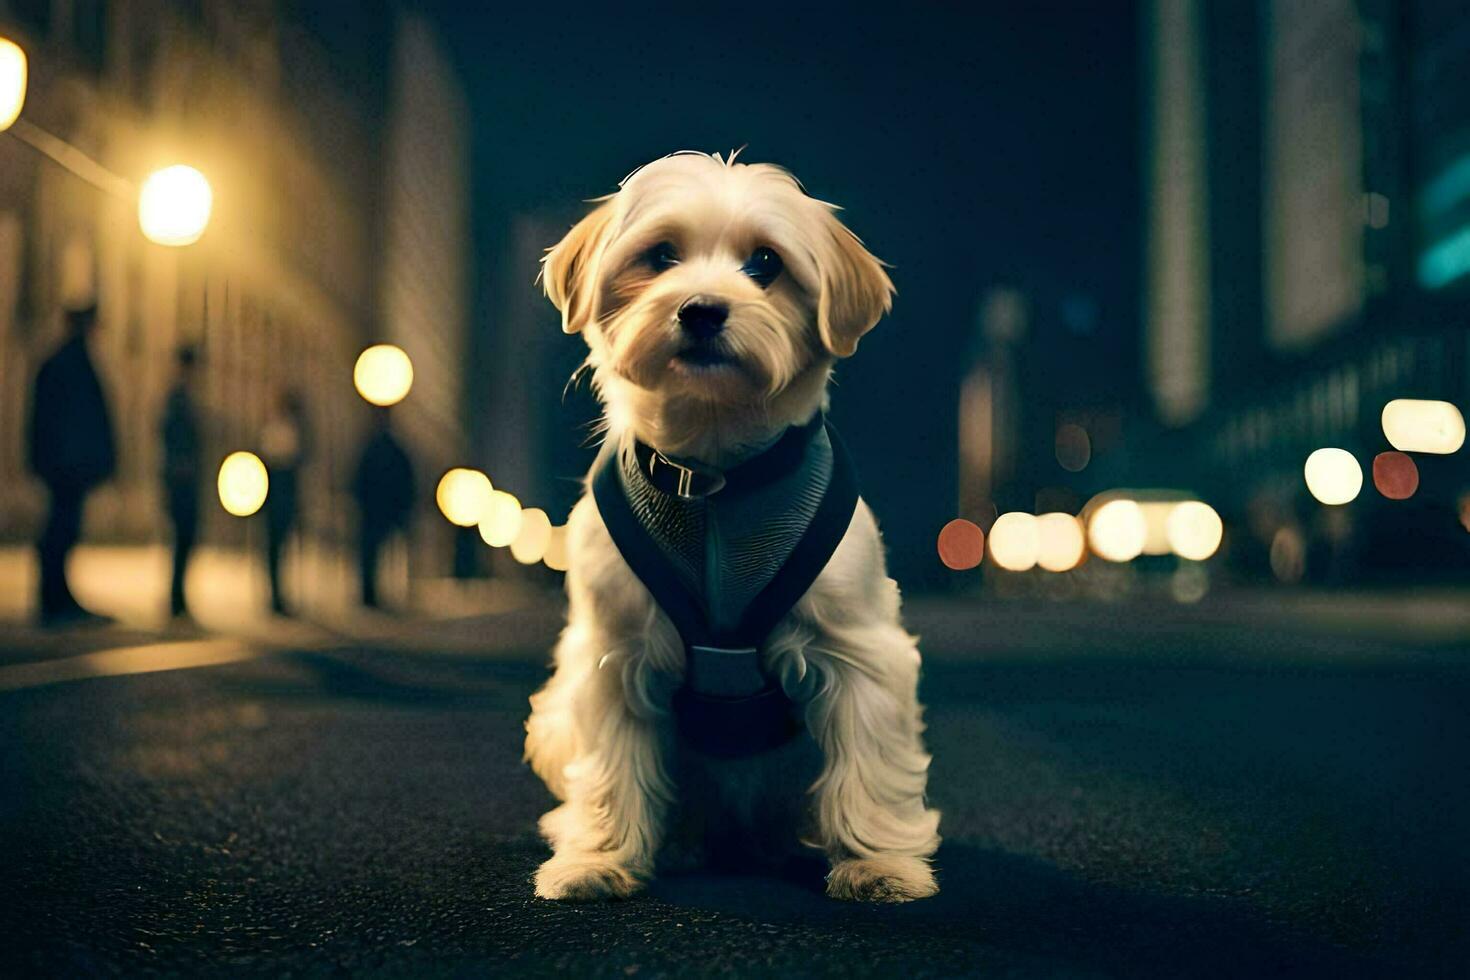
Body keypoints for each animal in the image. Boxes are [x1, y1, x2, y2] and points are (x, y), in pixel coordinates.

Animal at [526, 151, 940, 905]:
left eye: (765, 264)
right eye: (661, 255)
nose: (700, 309)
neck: (713, 476)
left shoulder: (861, 654)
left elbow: (868, 772)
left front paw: (879, 866)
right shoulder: (612, 657)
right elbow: (610, 774)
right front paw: (597, 859)